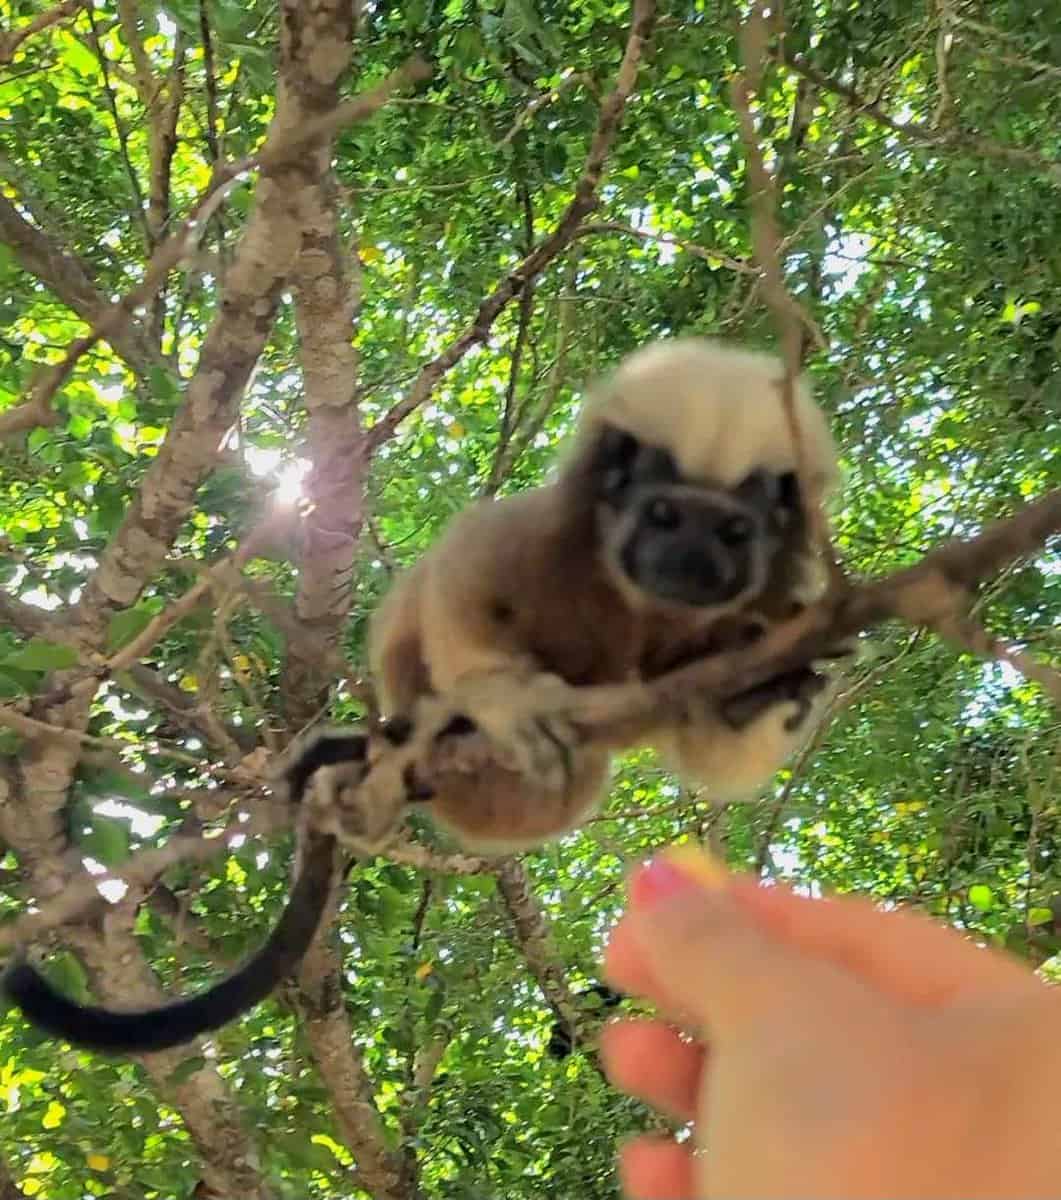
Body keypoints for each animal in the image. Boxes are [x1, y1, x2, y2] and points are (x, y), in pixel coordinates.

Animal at [363, 336, 847, 852]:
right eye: (663, 515)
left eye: (733, 531)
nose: (691, 562)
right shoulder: (543, 532)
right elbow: (462, 568)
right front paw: (505, 698)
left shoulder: (775, 601)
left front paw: (761, 692)